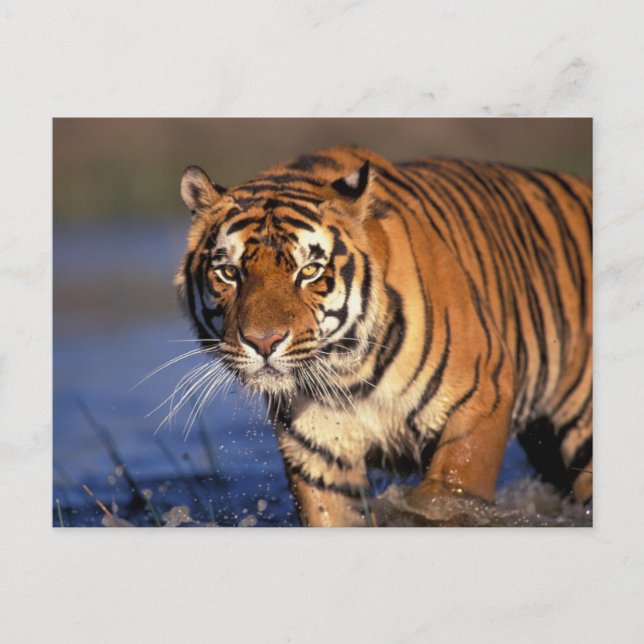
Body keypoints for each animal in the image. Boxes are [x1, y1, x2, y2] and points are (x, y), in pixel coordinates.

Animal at [175, 146, 592, 527]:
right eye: (229, 273)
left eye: (309, 270)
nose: (264, 342)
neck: (347, 372)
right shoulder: (317, 450)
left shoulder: (480, 399)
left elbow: (445, 500)